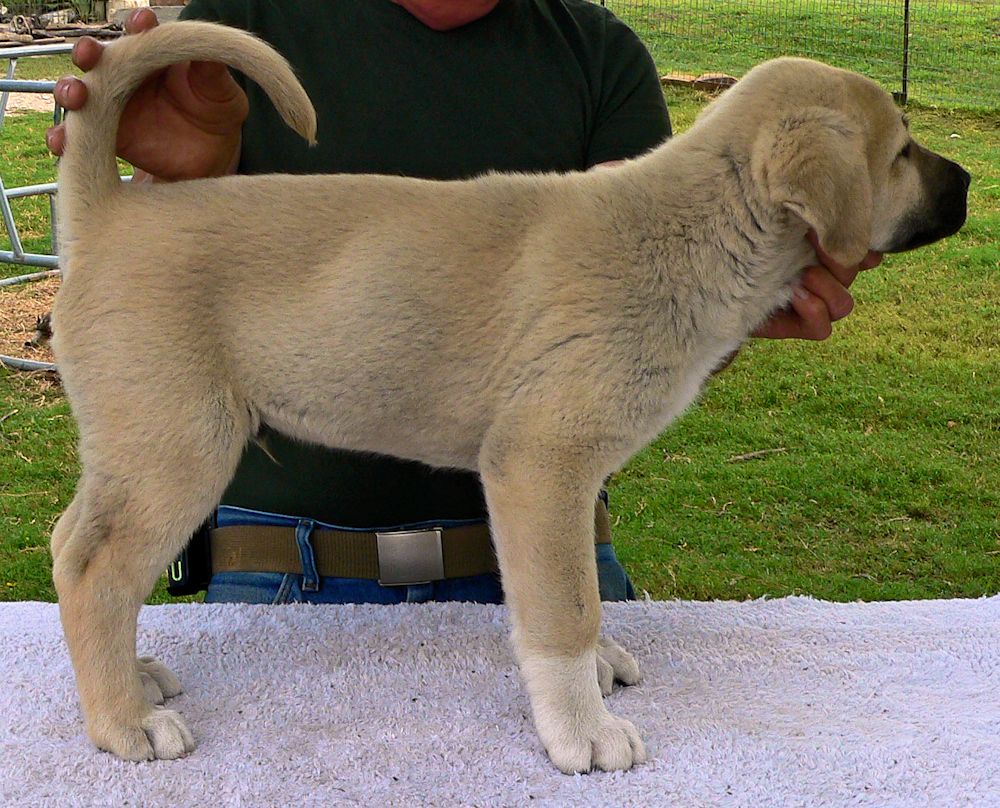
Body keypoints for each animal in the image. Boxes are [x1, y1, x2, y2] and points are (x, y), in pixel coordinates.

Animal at [48, 22, 968, 772]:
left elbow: (562, 587)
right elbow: (565, 607)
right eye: (901, 152)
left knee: (73, 547)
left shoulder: (551, 483)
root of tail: (109, 213)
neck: (699, 227)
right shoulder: (542, 461)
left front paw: (592, 676)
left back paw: (132, 678)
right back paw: (123, 722)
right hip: (177, 445)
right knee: (95, 571)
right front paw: (582, 730)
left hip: (138, 446)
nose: (966, 183)